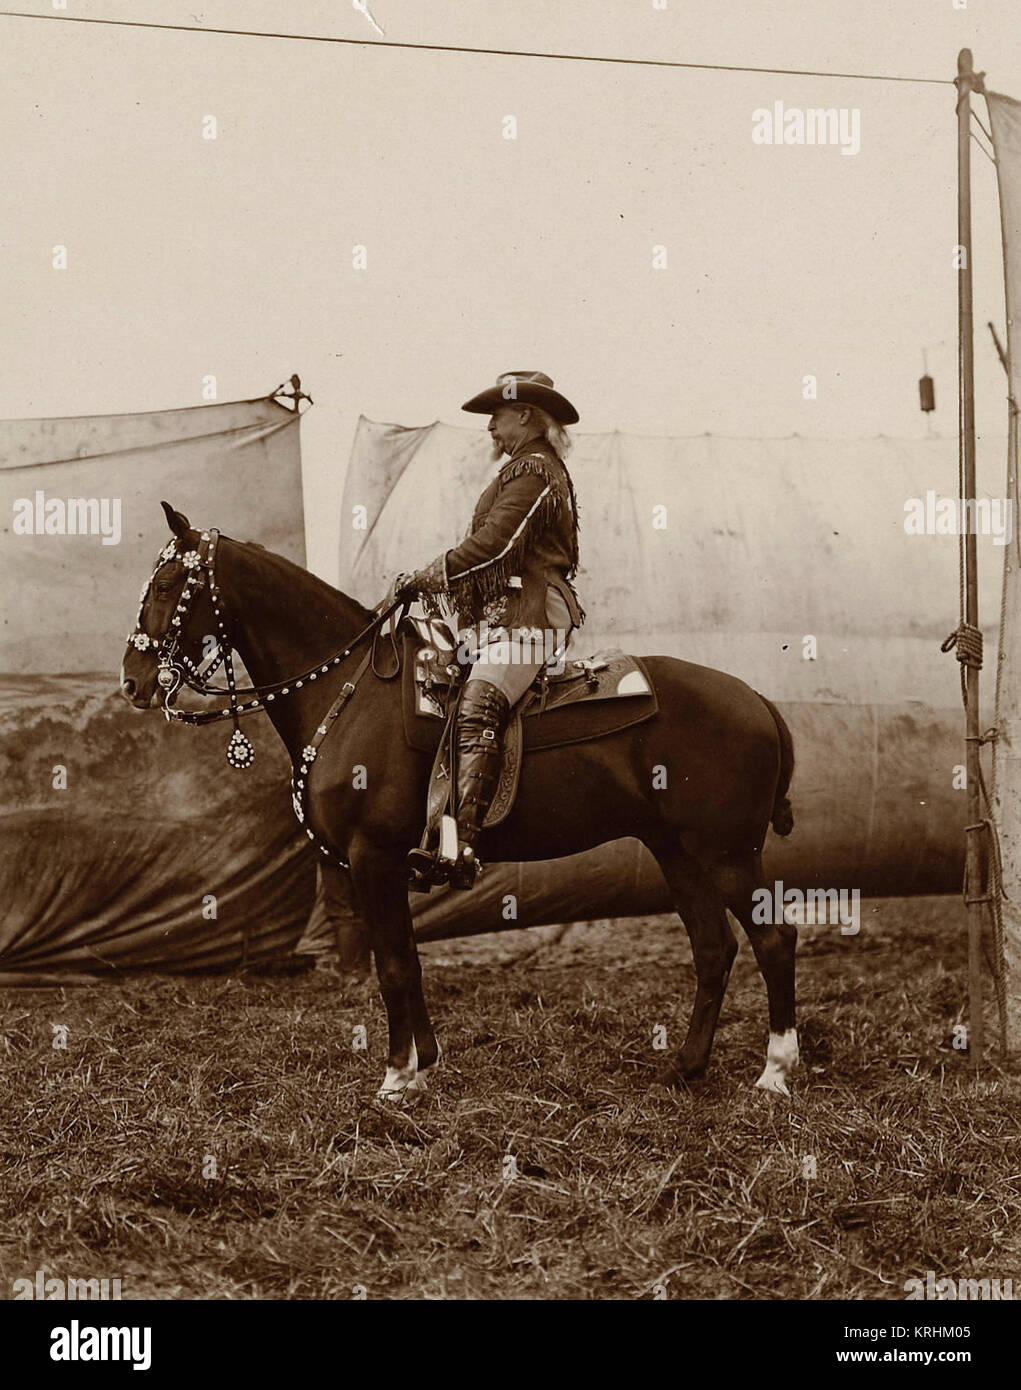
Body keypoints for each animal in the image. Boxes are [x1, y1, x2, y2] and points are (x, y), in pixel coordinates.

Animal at [121, 505, 800, 1100]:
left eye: (168, 584)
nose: (132, 680)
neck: (351, 695)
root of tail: (756, 699)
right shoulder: (385, 866)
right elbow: (407, 961)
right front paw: (425, 1062)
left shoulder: (373, 858)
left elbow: (394, 966)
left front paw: (396, 1078)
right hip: (677, 853)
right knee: (714, 948)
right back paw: (685, 1068)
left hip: (728, 856)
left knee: (773, 939)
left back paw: (775, 1072)